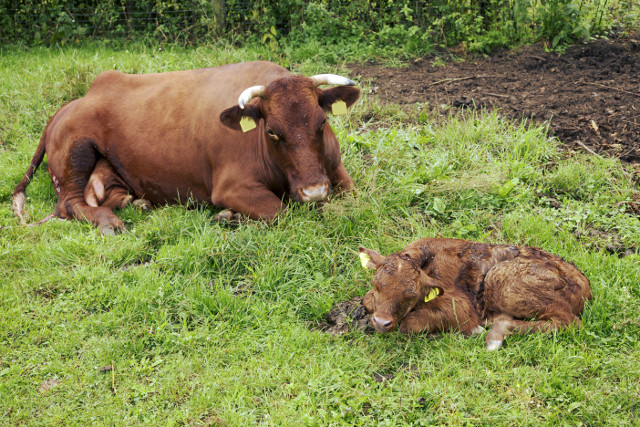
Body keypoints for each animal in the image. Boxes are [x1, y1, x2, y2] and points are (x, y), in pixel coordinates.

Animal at [13, 60, 360, 234]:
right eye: (272, 131)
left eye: (321, 122)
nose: (314, 191)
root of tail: (73, 103)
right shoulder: (232, 186)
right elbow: (279, 213)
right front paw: (229, 217)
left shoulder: (337, 172)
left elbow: (351, 198)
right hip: (76, 150)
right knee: (69, 204)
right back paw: (108, 222)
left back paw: (134, 203)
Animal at [358, 237, 592, 352]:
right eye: (376, 283)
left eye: (411, 294)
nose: (382, 322)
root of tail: (584, 284)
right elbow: (367, 300)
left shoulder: (461, 306)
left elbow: (410, 323)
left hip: (503, 281)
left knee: (567, 322)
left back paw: (493, 335)